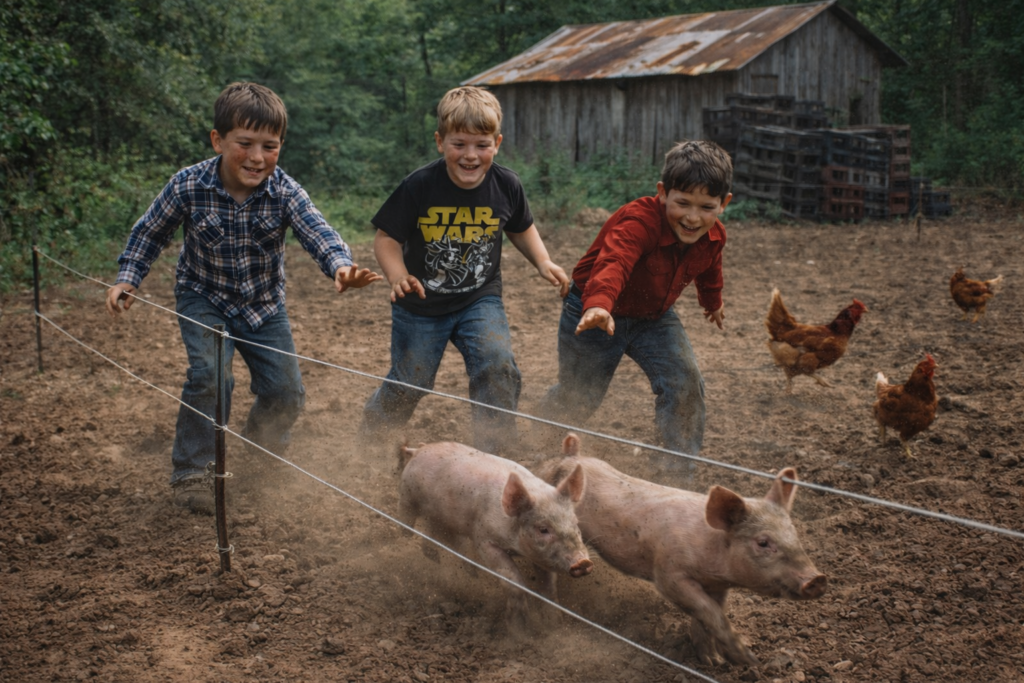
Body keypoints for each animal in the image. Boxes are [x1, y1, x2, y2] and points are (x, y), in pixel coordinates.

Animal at [397, 441, 592, 633]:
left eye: (575, 522)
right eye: (543, 529)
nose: (583, 562)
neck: (516, 546)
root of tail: (419, 449)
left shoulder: (541, 557)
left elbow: (549, 587)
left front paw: (554, 626)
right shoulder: (484, 539)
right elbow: (513, 579)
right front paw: (519, 631)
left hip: (438, 516)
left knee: (432, 534)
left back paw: (439, 561)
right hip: (407, 495)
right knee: (406, 522)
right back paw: (403, 545)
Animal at [534, 434, 827, 667]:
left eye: (793, 532)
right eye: (763, 542)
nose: (817, 578)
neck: (711, 552)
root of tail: (571, 455)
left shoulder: (717, 586)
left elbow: (709, 615)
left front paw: (713, 661)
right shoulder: (669, 575)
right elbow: (710, 613)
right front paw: (748, 661)